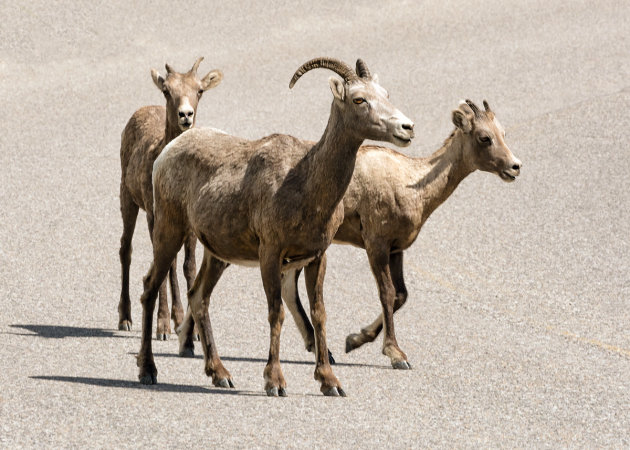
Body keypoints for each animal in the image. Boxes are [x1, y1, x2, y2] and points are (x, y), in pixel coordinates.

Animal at [118, 57, 225, 338]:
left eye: (200, 90)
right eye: (167, 91)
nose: (185, 115)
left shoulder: (190, 225)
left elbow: (188, 267)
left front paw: (192, 330)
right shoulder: (154, 214)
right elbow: (163, 267)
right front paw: (163, 327)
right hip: (127, 198)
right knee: (126, 249)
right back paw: (125, 318)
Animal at [138, 57, 414, 398]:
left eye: (385, 94)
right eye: (359, 99)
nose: (406, 128)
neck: (304, 184)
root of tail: (166, 153)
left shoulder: (317, 257)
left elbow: (319, 314)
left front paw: (330, 382)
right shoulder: (270, 253)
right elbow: (276, 312)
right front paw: (275, 382)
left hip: (216, 255)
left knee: (199, 296)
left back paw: (220, 375)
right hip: (169, 231)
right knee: (150, 288)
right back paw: (148, 371)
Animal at [276, 99, 524, 370]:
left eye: (503, 134)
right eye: (484, 137)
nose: (515, 167)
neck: (411, 186)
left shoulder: (397, 249)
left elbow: (401, 296)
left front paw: (355, 340)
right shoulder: (377, 245)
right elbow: (387, 293)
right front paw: (396, 355)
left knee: (288, 287)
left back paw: (321, 349)